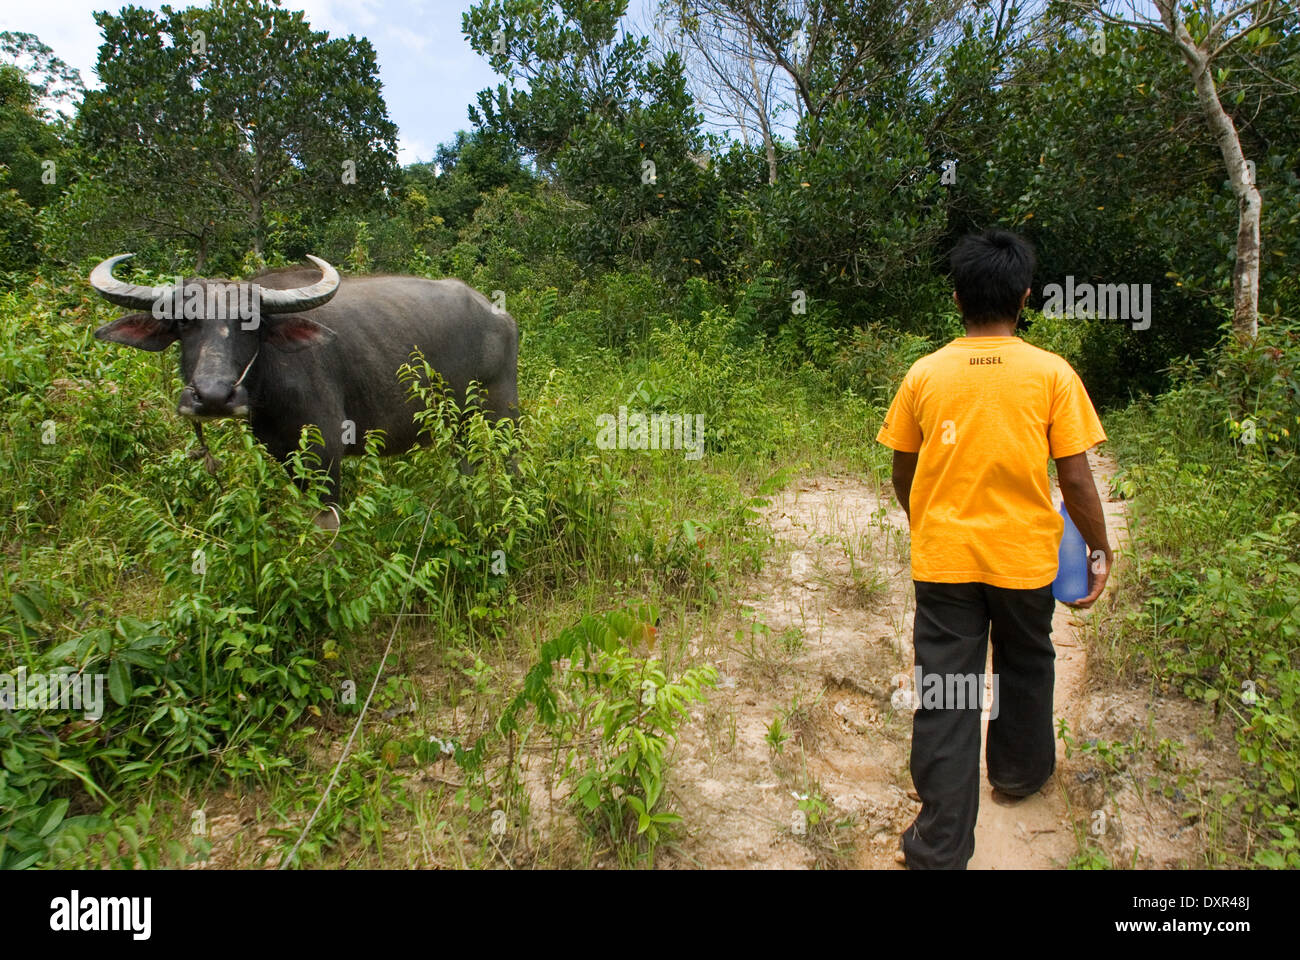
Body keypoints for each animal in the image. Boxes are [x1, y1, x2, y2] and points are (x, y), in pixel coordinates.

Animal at [87, 254, 517, 520]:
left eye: (251, 322)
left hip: (500, 416)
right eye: (184, 322)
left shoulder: (324, 454)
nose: (213, 396)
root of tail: (498, 315)